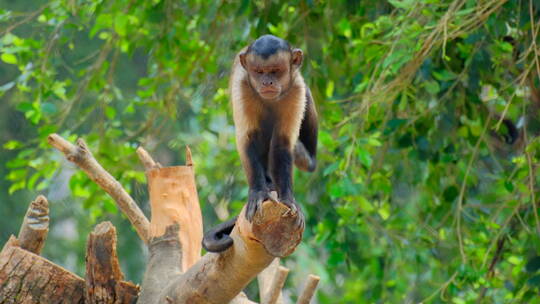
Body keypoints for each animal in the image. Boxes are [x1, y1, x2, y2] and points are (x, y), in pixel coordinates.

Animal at [204, 34, 320, 253]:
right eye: (259, 72)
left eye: (275, 70)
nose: (267, 81)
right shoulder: (242, 85)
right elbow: (248, 139)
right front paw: (258, 192)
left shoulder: (296, 89)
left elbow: (282, 143)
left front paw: (287, 199)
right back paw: (267, 184)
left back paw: (306, 160)